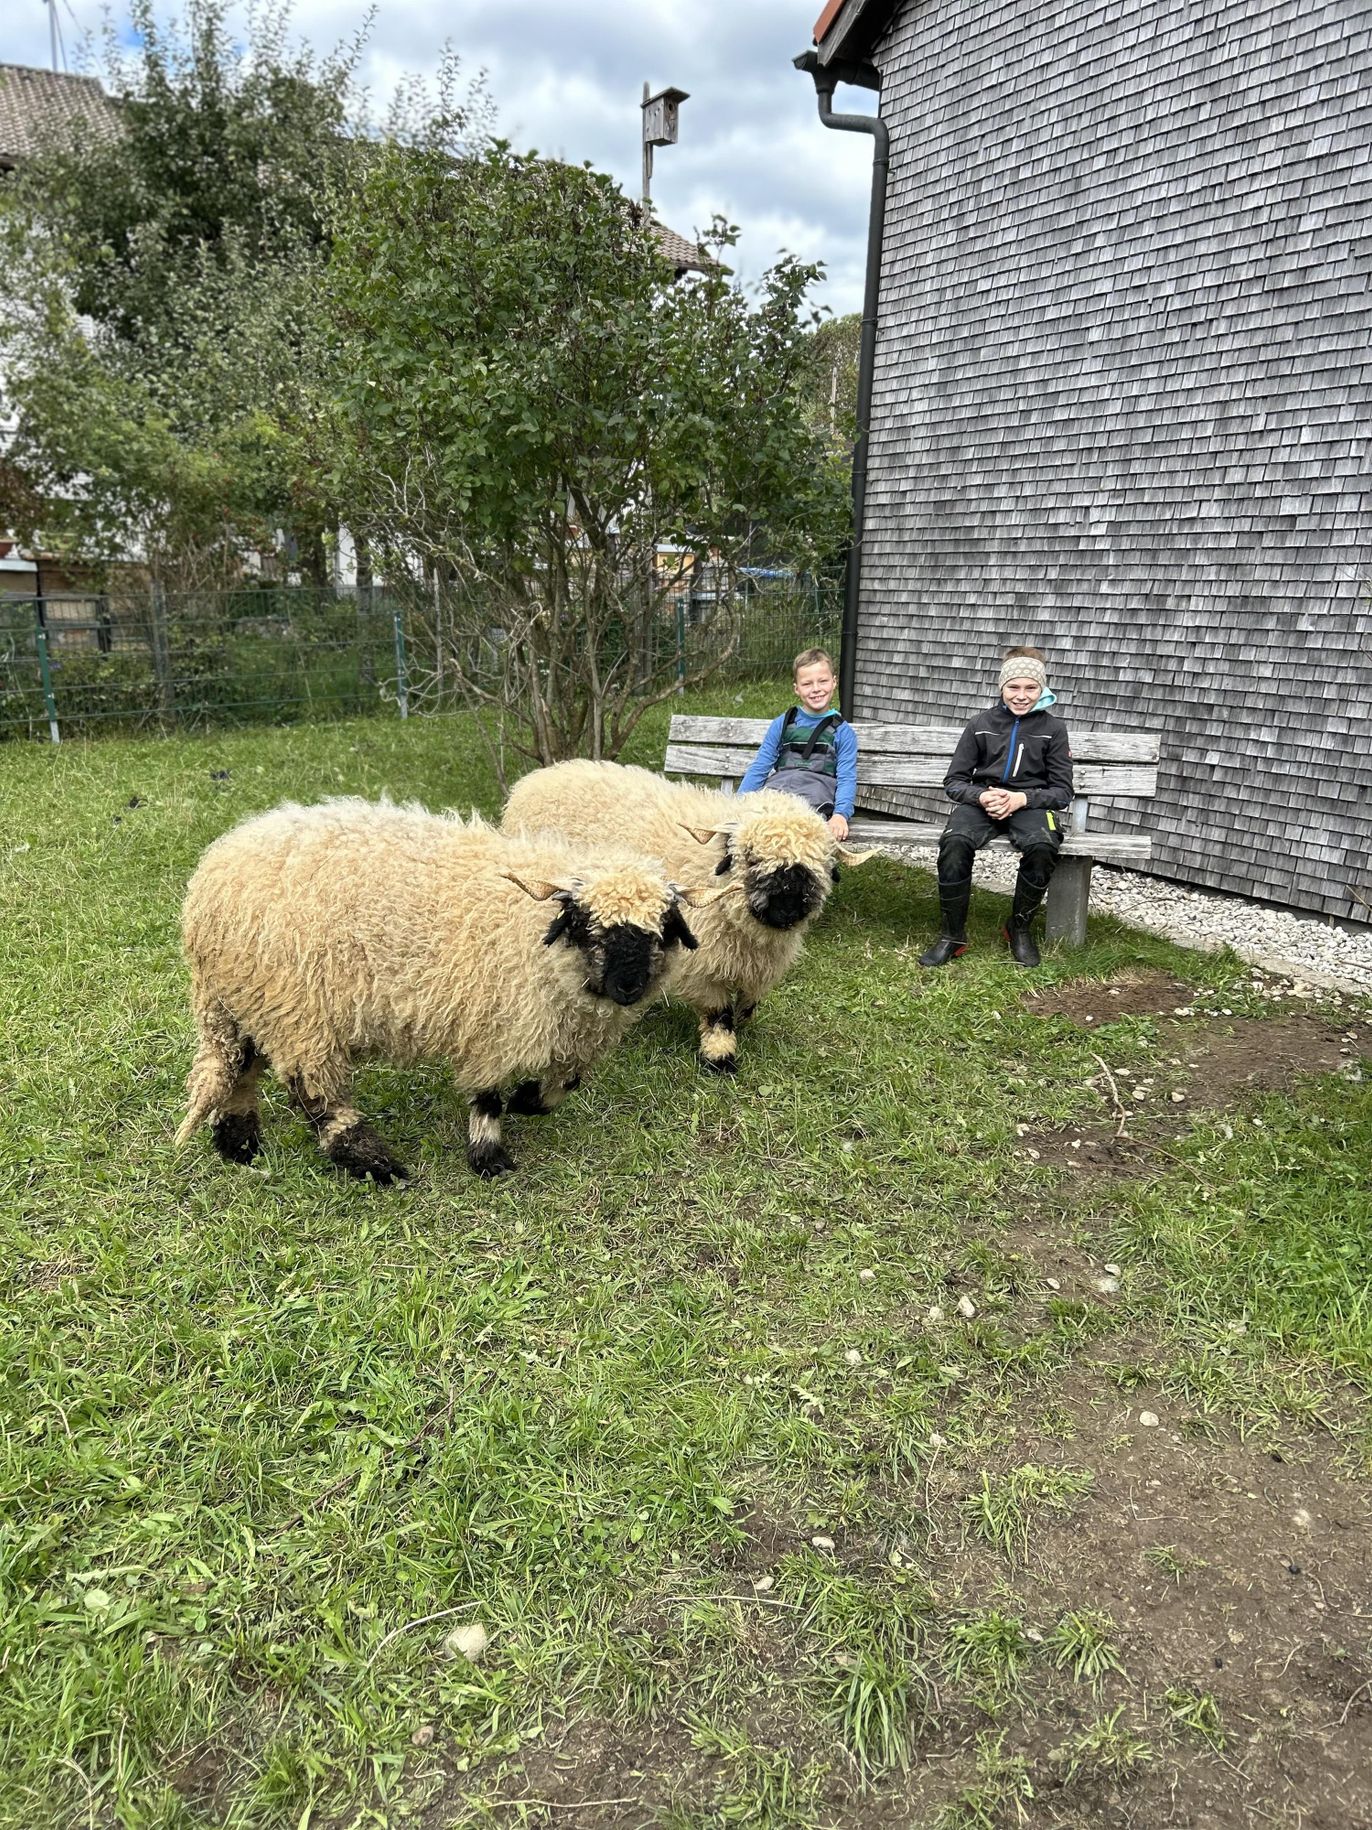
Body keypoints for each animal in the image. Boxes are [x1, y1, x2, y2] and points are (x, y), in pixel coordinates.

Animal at [175, 797, 702, 1180]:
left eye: (660, 933)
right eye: (589, 929)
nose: (629, 987)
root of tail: (209, 886)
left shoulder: (561, 1028)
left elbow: (566, 1080)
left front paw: (530, 1101)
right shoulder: (495, 1023)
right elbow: (487, 1094)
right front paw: (489, 1157)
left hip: (250, 1002)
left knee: (241, 1069)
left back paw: (240, 1145)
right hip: (296, 1010)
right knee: (314, 1092)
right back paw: (372, 1162)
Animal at [503, 761, 868, 1074]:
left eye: (820, 863)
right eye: (751, 857)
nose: (788, 902)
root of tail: (538, 777)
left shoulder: (758, 963)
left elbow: (749, 1001)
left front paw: (743, 1019)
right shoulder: (702, 964)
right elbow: (718, 1013)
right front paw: (720, 1056)